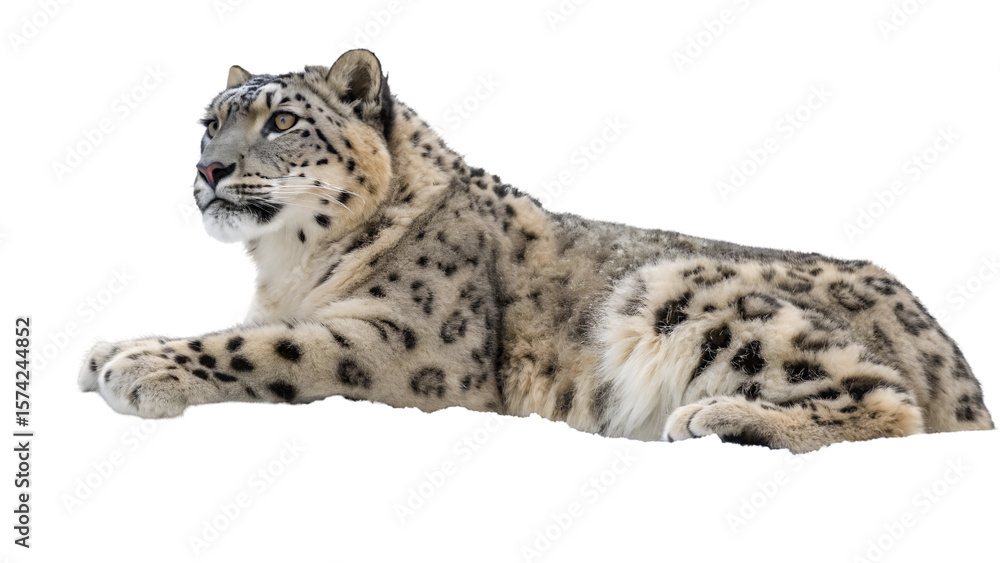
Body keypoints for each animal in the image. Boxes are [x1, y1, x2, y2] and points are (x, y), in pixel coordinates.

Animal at [79, 49, 993, 453]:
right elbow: (228, 324)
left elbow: (263, 347)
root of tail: (948, 350)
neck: (288, 268)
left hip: (683, 289)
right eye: (209, 121)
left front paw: (141, 368)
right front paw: (110, 347)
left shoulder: (405, 346)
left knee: (890, 404)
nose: (209, 168)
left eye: (282, 120)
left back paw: (719, 419)